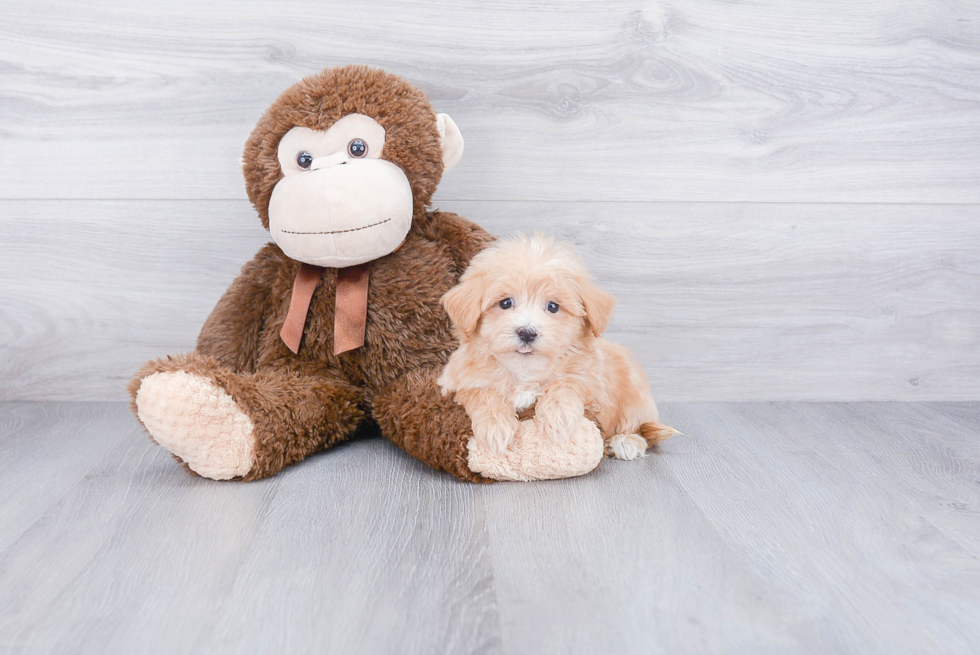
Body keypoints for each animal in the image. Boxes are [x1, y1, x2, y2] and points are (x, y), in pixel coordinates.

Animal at [436, 233, 672, 458]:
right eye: (505, 303)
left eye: (553, 307)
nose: (527, 332)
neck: (526, 370)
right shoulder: (459, 382)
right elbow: (482, 392)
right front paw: (495, 426)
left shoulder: (591, 381)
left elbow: (566, 383)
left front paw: (559, 415)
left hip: (635, 393)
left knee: (640, 427)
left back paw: (626, 441)